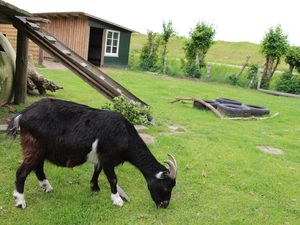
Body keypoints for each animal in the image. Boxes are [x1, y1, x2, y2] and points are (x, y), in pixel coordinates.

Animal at [7, 98, 177, 209]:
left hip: (41, 150)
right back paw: (20, 201)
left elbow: (97, 170)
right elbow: (113, 178)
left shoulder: (100, 157)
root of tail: (22, 115)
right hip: (34, 147)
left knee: (38, 168)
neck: (125, 135)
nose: (164, 205)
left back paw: (47, 187)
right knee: (22, 172)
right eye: (166, 187)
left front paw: (94, 187)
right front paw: (117, 200)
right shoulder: (108, 157)